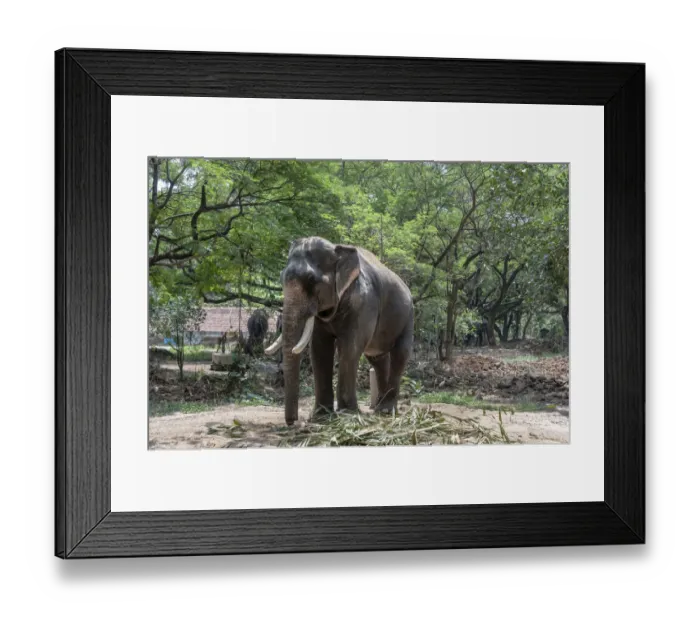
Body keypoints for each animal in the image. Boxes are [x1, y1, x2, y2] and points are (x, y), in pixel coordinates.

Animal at [265, 237, 414, 426]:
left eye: (311, 279)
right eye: (281, 277)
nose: (293, 422)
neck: (338, 249)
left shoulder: (364, 303)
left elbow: (350, 347)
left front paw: (347, 414)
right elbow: (319, 348)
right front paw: (321, 416)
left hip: (408, 316)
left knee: (400, 353)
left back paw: (386, 411)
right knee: (377, 358)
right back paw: (379, 409)